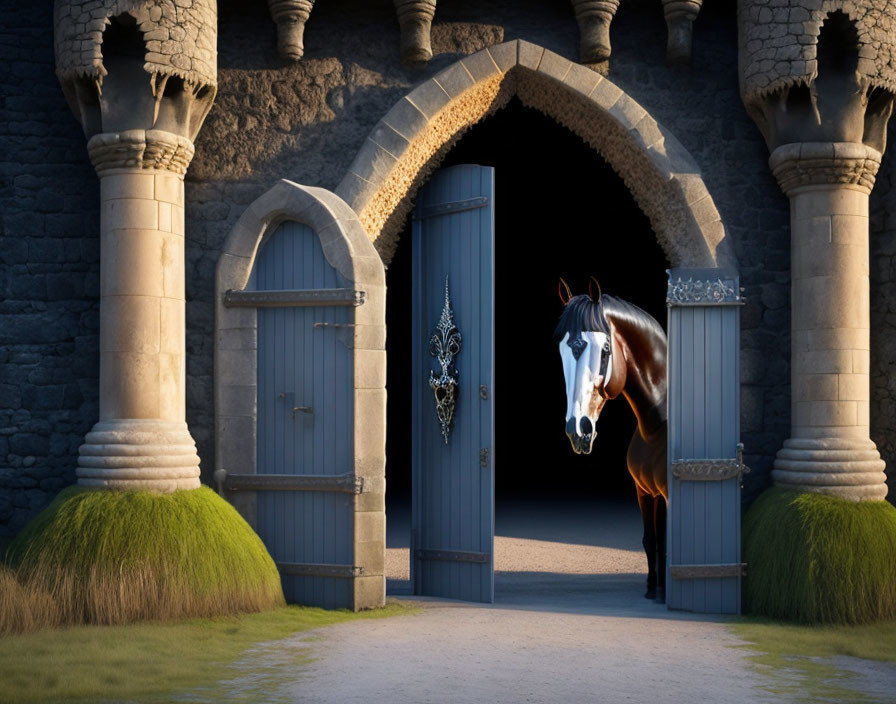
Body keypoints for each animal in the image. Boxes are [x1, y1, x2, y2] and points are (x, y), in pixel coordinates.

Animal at [556, 278, 668, 604]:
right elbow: (651, 540)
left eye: (605, 350)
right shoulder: (646, 492)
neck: (659, 422)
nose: (577, 429)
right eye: (561, 350)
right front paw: (652, 589)